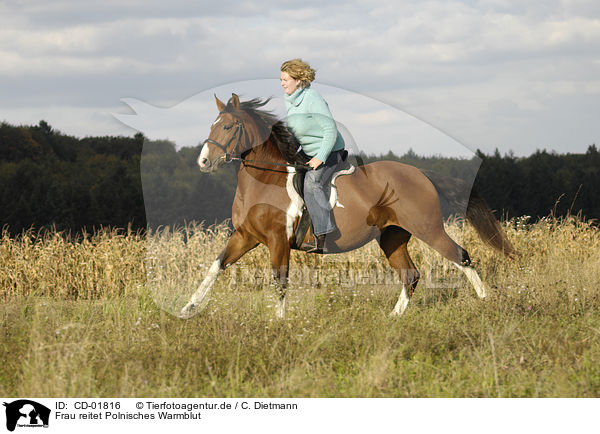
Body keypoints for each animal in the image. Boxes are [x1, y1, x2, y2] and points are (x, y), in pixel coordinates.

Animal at [179, 94, 516, 318]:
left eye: (229, 127)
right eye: (212, 125)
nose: (203, 162)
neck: (266, 179)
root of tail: (420, 173)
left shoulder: (278, 240)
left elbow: (281, 281)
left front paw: (278, 322)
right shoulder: (245, 236)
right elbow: (216, 266)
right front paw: (187, 308)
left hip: (428, 228)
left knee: (461, 256)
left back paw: (486, 304)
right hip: (392, 236)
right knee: (411, 275)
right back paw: (394, 318)